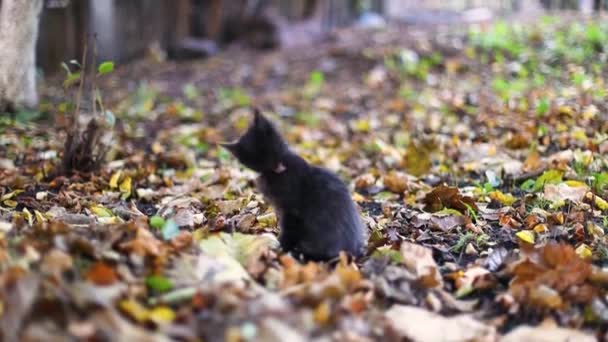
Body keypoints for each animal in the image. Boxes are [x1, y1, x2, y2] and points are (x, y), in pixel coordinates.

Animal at [223, 108, 366, 260]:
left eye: (266, 147)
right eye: (255, 158)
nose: (271, 163)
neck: (279, 172)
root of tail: (351, 251)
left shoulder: (291, 211)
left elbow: (288, 232)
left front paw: (280, 247)